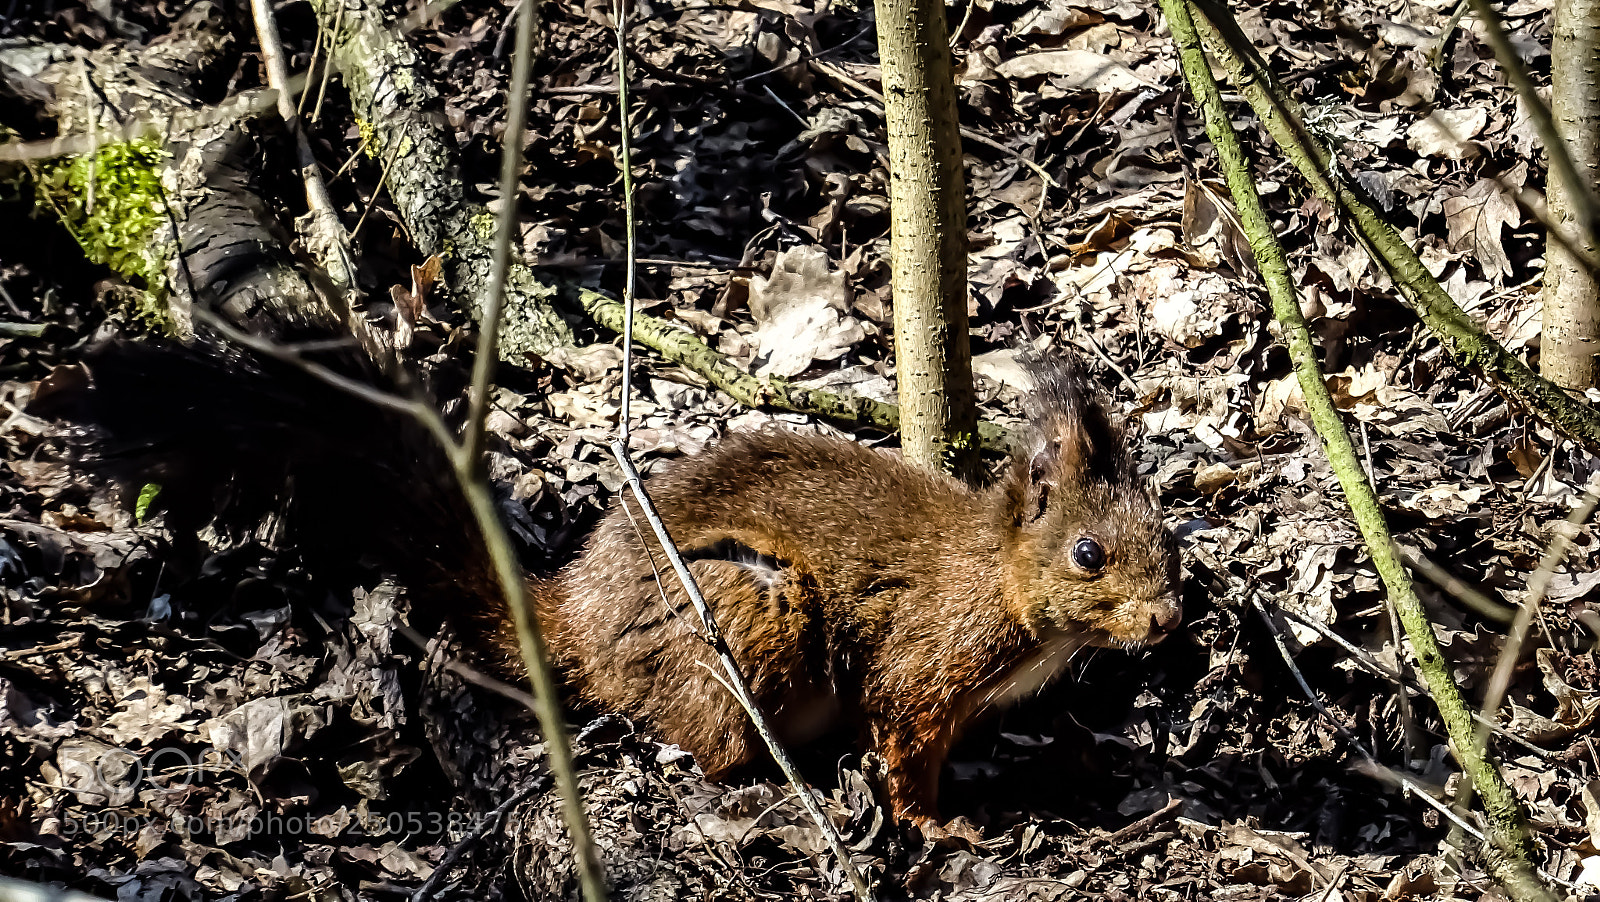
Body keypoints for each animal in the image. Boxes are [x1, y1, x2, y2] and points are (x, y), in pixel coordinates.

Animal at [39, 336, 1180, 834]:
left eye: (1166, 537)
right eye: (1088, 553)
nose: (1170, 615)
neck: (1003, 586)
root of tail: (574, 619)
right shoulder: (922, 661)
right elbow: (903, 744)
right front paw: (939, 825)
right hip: (751, 610)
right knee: (712, 744)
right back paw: (786, 782)